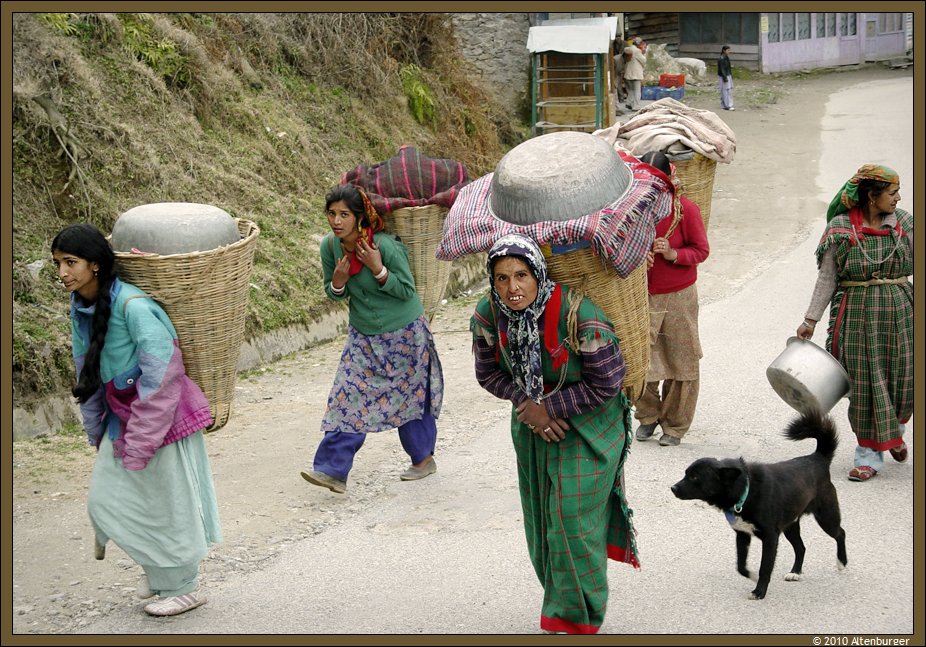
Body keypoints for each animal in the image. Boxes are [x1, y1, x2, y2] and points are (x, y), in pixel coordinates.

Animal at [676, 410, 848, 604]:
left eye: (695, 477)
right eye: (686, 474)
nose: (673, 488)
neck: (745, 490)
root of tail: (818, 457)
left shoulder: (770, 538)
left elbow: (765, 568)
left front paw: (759, 591)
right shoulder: (742, 535)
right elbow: (741, 566)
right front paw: (752, 576)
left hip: (826, 517)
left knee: (840, 533)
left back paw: (842, 562)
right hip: (790, 526)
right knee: (801, 547)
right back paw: (795, 573)